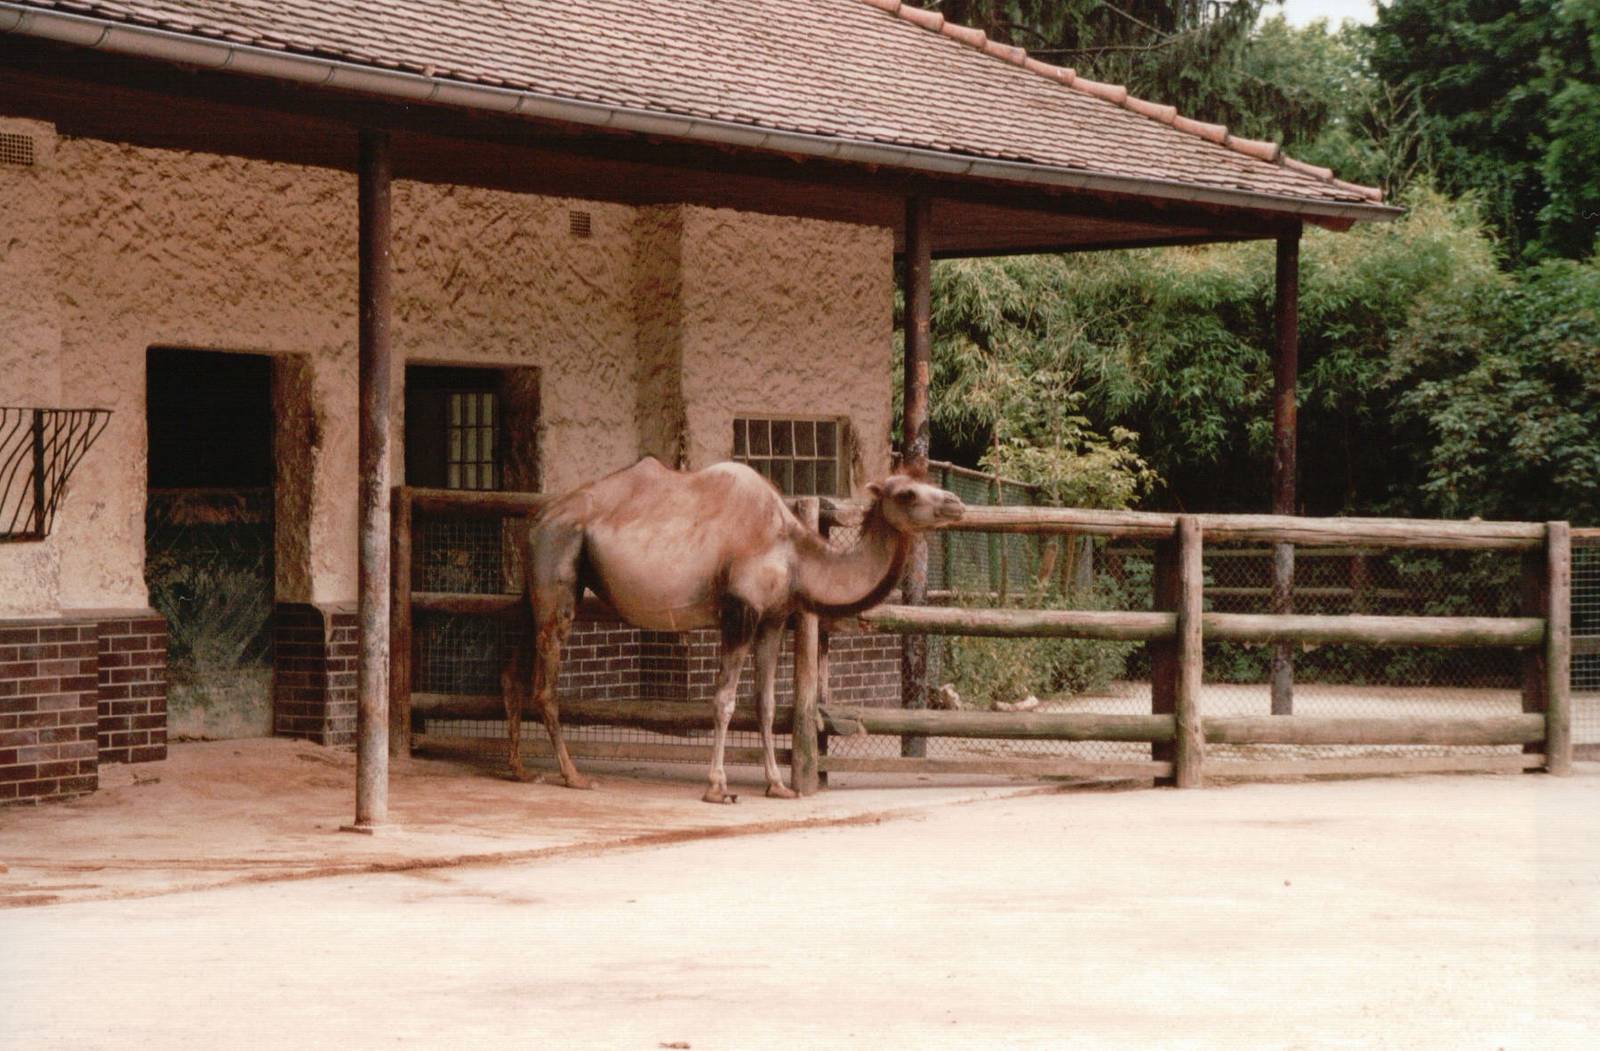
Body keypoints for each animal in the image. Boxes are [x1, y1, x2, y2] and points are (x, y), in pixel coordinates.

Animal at [509, 457, 965, 803]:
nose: (956, 504)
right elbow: (724, 701)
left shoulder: (774, 618)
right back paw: (573, 776)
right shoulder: (740, 611)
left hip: (534, 588)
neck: (793, 554)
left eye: (926, 484)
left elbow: (765, 704)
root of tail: (536, 519)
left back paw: (519, 769)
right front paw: (717, 786)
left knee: (512, 671)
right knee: (545, 684)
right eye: (906, 494)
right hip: (559, 563)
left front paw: (778, 784)